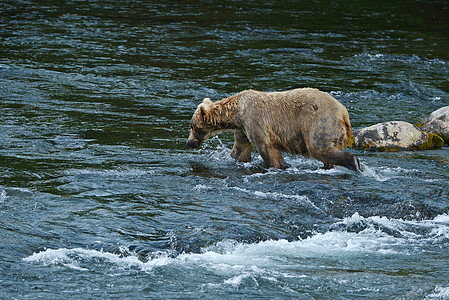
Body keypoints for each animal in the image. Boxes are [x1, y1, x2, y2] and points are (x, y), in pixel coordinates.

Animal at [186, 87, 360, 171]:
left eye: (192, 126)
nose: (189, 143)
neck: (237, 113)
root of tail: (344, 112)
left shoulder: (254, 119)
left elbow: (266, 147)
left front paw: (276, 166)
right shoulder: (242, 128)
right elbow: (240, 150)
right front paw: (235, 159)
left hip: (320, 122)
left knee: (319, 147)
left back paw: (354, 163)